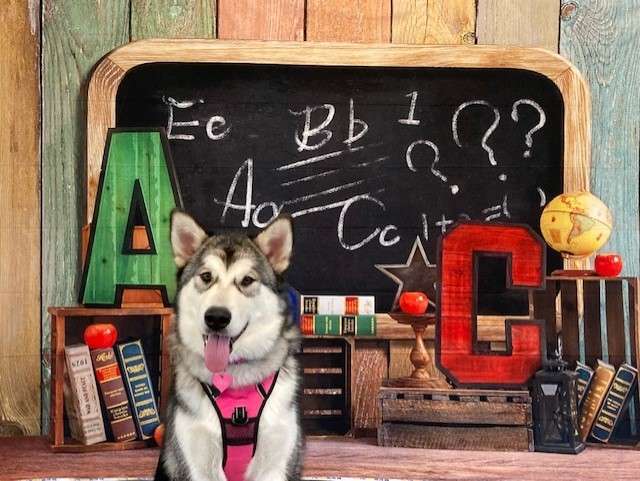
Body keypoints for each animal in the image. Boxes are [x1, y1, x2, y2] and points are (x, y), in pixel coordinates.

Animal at [156, 211, 304, 480]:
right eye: (206, 276)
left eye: (247, 280)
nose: (216, 317)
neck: (236, 379)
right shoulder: (194, 463)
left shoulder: (276, 463)